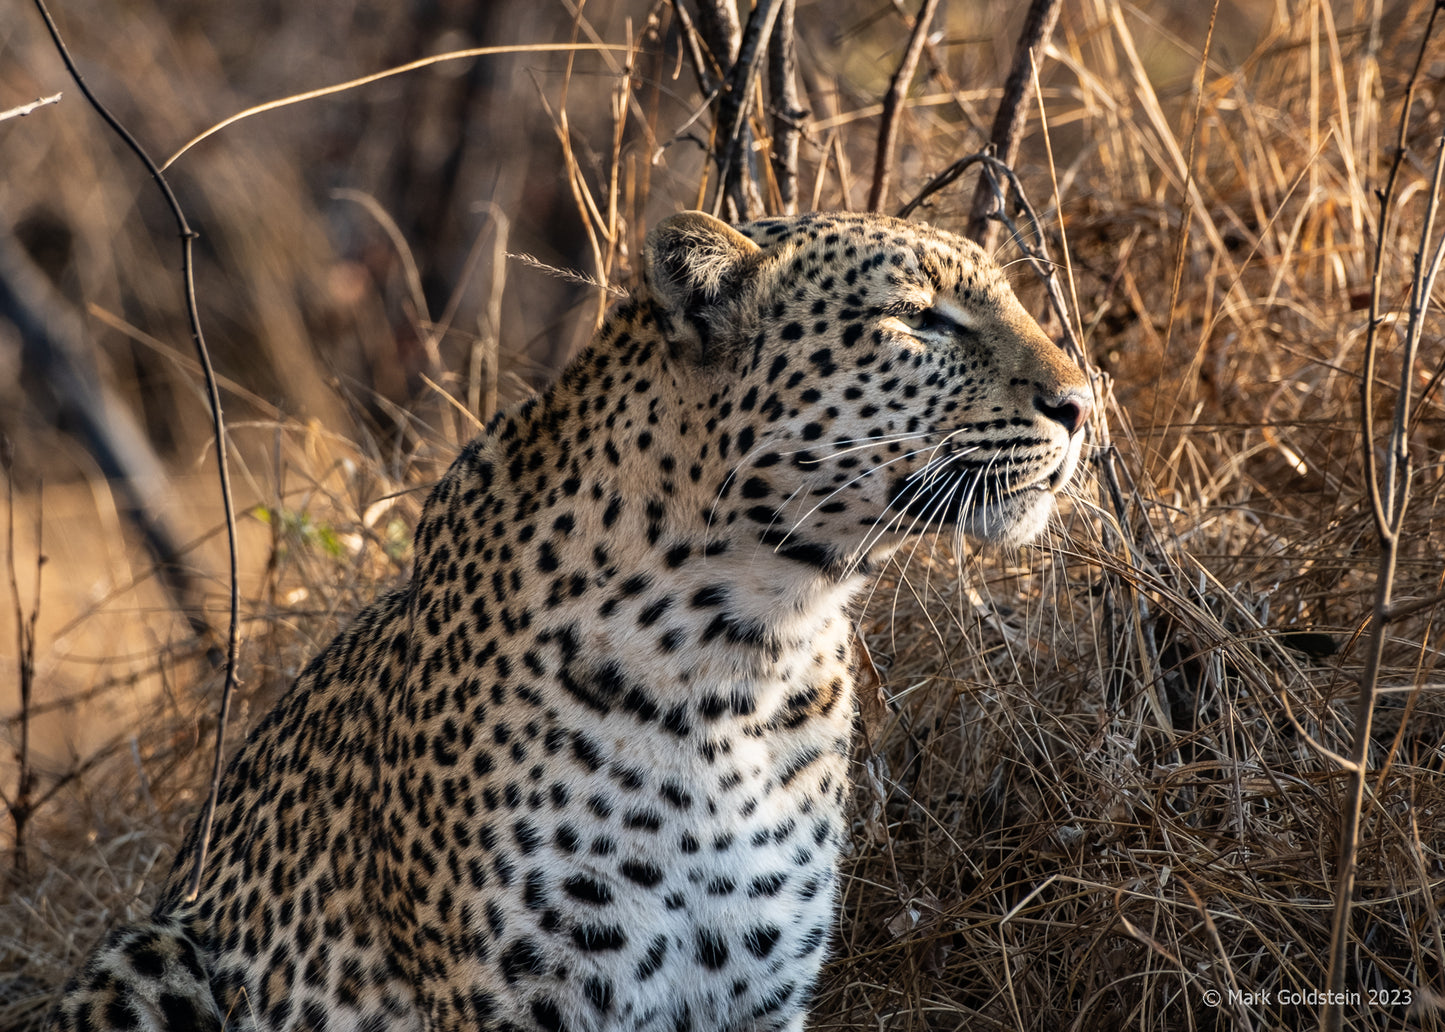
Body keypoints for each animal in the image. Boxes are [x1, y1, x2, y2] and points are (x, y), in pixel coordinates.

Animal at [50, 209, 1092, 1029]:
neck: (749, 646)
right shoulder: (523, 997)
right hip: (146, 955)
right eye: (919, 319)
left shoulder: (756, 992)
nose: (1082, 402)